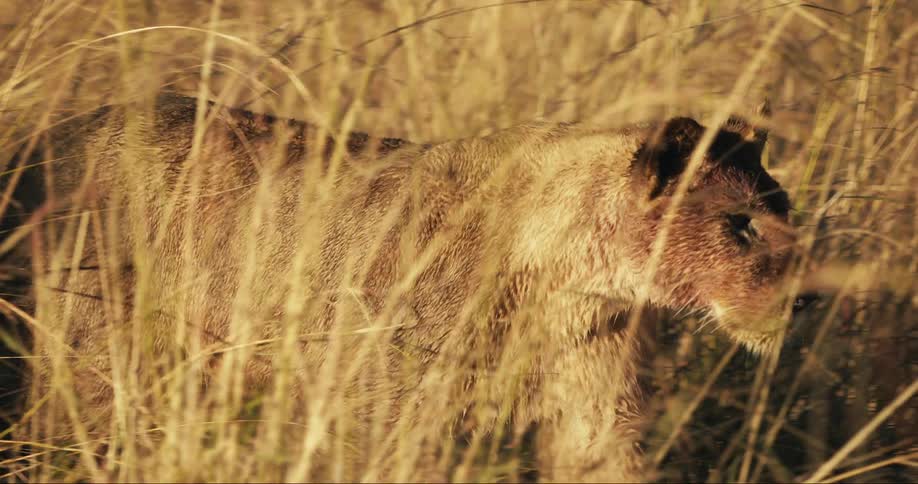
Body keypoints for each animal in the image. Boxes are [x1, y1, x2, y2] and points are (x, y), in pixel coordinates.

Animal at [1, 93, 813, 481]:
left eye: (786, 211)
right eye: (741, 224)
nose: (804, 295)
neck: (569, 280)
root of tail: (44, 140)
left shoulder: (594, 412)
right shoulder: (392, 422)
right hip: (87, 369)